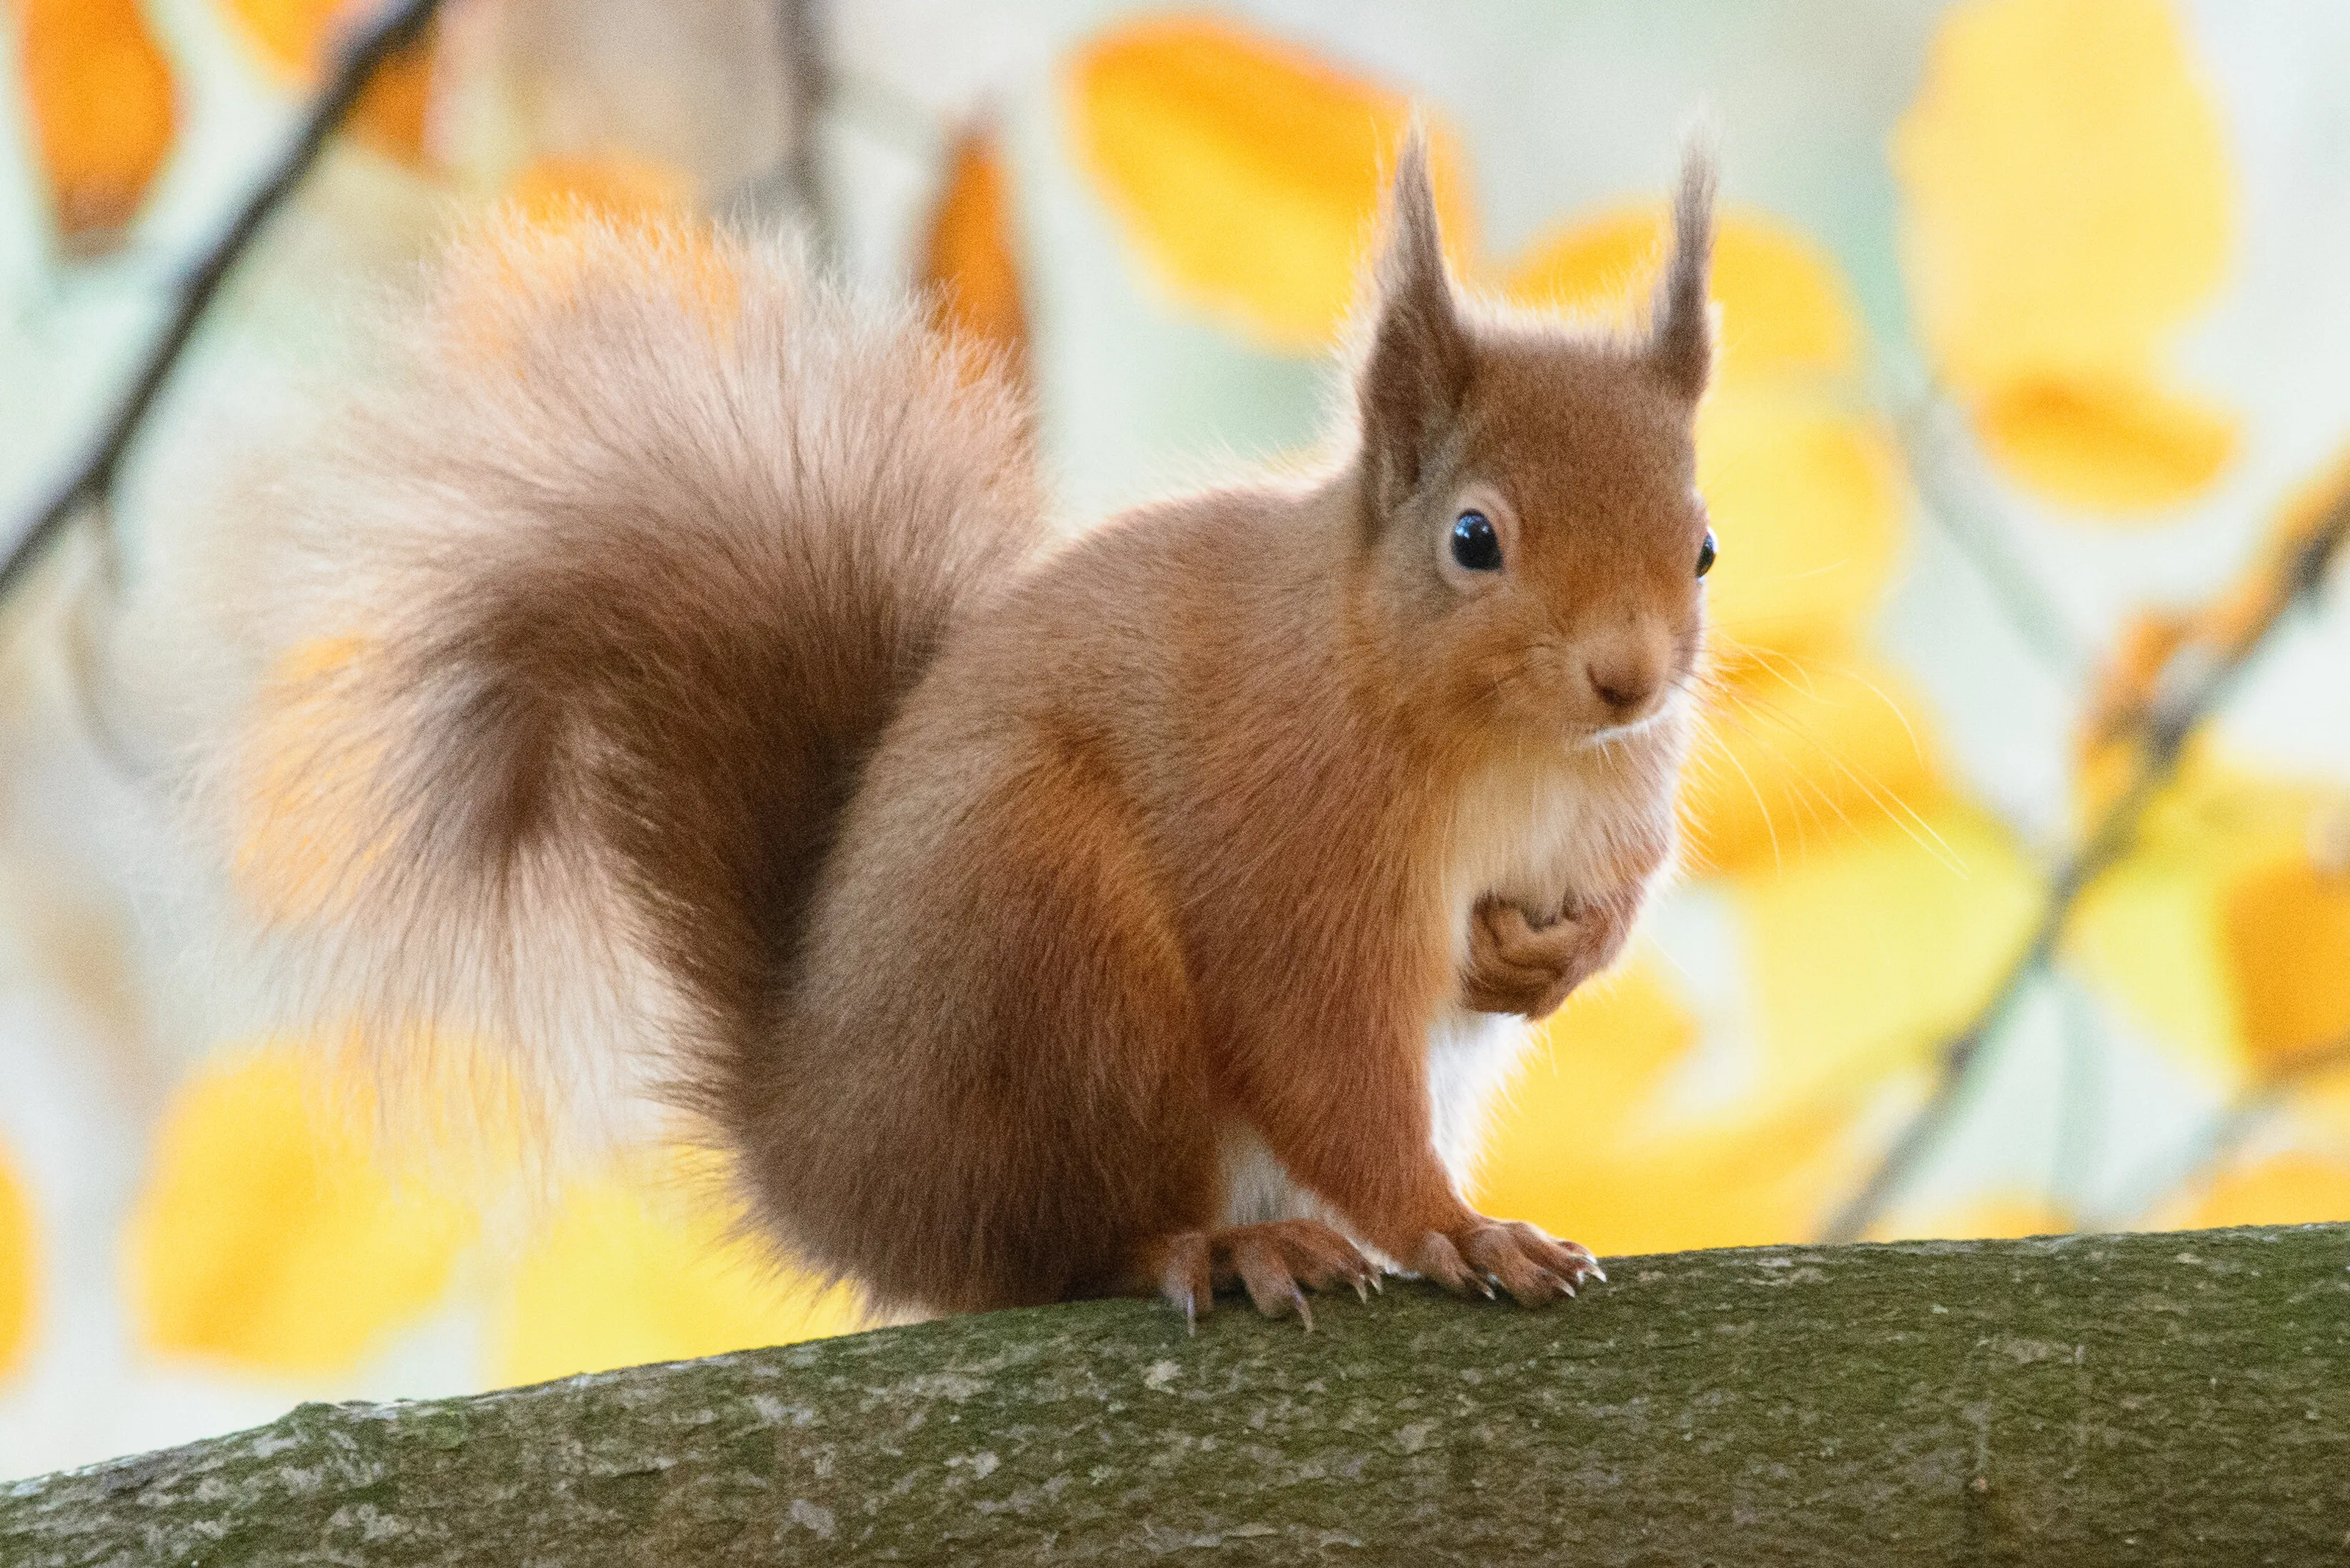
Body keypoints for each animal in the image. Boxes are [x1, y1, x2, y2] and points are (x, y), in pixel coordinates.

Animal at [152, 128, 1718, 1327]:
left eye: (1702, 547)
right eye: (1474, 540)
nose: (1629, 679)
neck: (1508, 749)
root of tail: (822, 1151)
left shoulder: (1615, 803)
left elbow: (1620, 888)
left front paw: (1556, 955)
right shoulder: (1295, 838)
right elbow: (1325, 1054)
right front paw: (1453, 1227)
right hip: (1047, 942)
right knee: (1065, 1246)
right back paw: (1224, 1243)